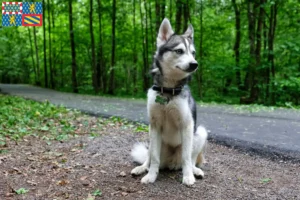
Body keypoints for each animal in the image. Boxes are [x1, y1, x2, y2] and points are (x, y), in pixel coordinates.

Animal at [131, 18, 209, 186]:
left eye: (193, 53)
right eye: (179, 51)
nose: (194, 64)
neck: (167, 91)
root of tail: (171, 162)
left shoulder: (187, 125)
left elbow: (186, 158)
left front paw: (188, 177)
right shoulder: (155, 125)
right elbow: (154, 158)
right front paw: (151, 176)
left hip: (200, 132)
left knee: (191, 159)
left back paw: (195, 170)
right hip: (151, 136)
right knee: (149, 157)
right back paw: (142, 168)